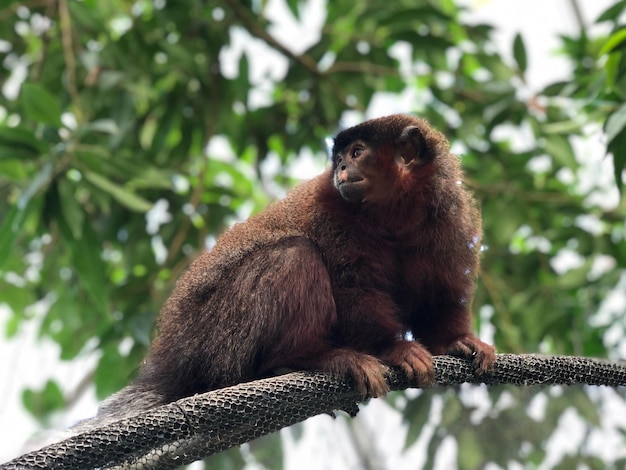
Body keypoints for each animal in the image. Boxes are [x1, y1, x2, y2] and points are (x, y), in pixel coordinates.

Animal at [74, 114, 492, 430]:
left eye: (357, 152)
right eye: (340, 158)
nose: (342, 168)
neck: (395, 218)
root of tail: (175, 359)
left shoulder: (451, 215)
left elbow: (443, 290)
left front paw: (453, 341)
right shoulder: (332, 214)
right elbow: (354, 289)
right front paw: (393, 348)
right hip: (219, 340)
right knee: (296, 254)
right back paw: (306, 358)